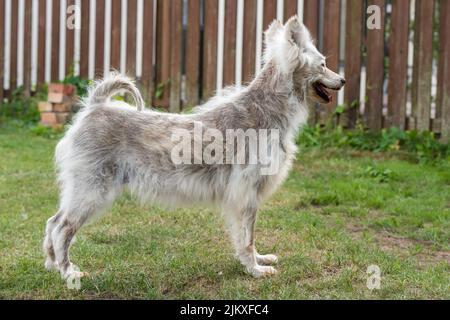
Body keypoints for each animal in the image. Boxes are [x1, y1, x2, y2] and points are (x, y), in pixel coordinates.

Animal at [44, 16, 344, 278]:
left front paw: (259, 260)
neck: (265, 110)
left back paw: (51, 265)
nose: (342, 80)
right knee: (63, 229)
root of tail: (95, 107)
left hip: (81, 191)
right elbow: (247, 237)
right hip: (91, 191)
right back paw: (68, 272)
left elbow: (246, 237)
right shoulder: (246, 195)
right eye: (323, 64)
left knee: (52, 223)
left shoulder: (246, 197)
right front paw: (255, 270)